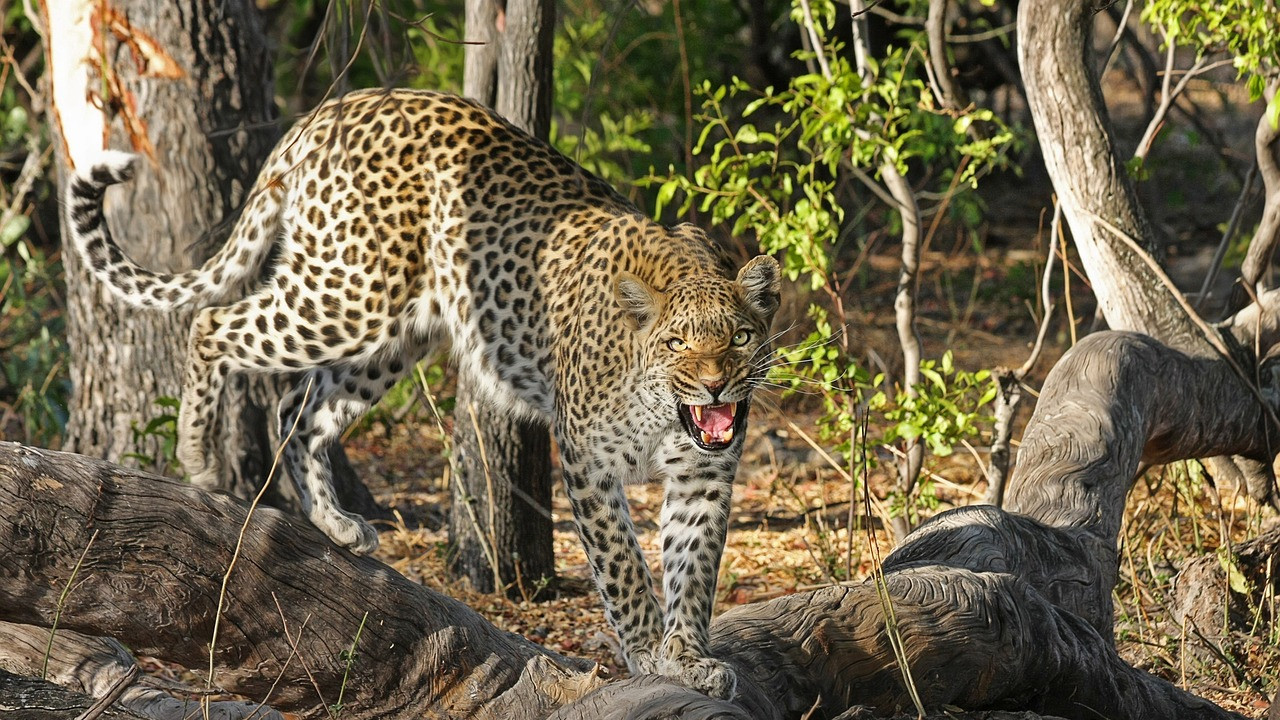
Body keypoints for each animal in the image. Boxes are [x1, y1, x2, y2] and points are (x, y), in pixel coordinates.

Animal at [66, 88, 780, 698]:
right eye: (677, 344)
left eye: (741, 337)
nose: (715, 383)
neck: (666, 412)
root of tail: (332, 109)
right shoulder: (586, 461)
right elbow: (625, 570)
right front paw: (649, 653)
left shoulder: (705, 476)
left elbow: (694, 571)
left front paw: (687, 658)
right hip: (348, 295)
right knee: (212, 324)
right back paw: (199, 456)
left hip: (392, 336)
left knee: (298, 408)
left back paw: (335, 523)